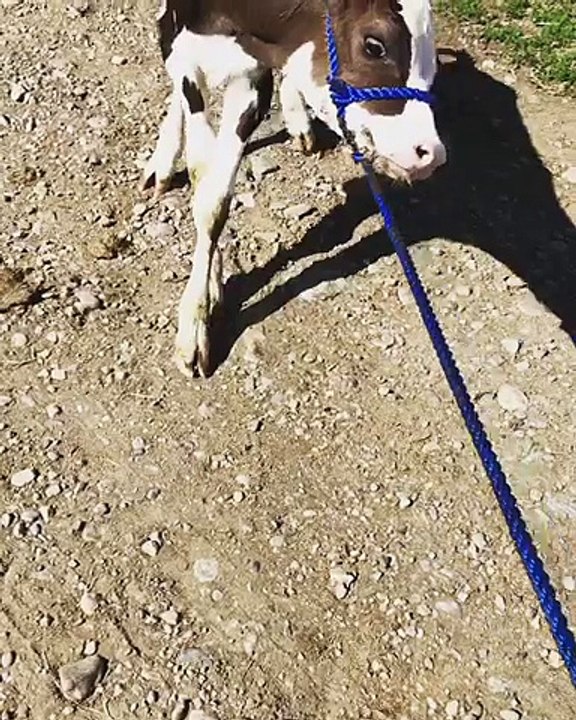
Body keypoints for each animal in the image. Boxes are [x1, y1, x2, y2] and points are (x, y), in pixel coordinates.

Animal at [141, 0, 446, 377]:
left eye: (432, 62)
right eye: (375, 46)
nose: (430, 154)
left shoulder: (252, 79)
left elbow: (215, 198)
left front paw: (204, 306)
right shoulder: (186, 54)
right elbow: (204, 182)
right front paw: (198, 318)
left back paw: (297, 115)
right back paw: (163, 161)